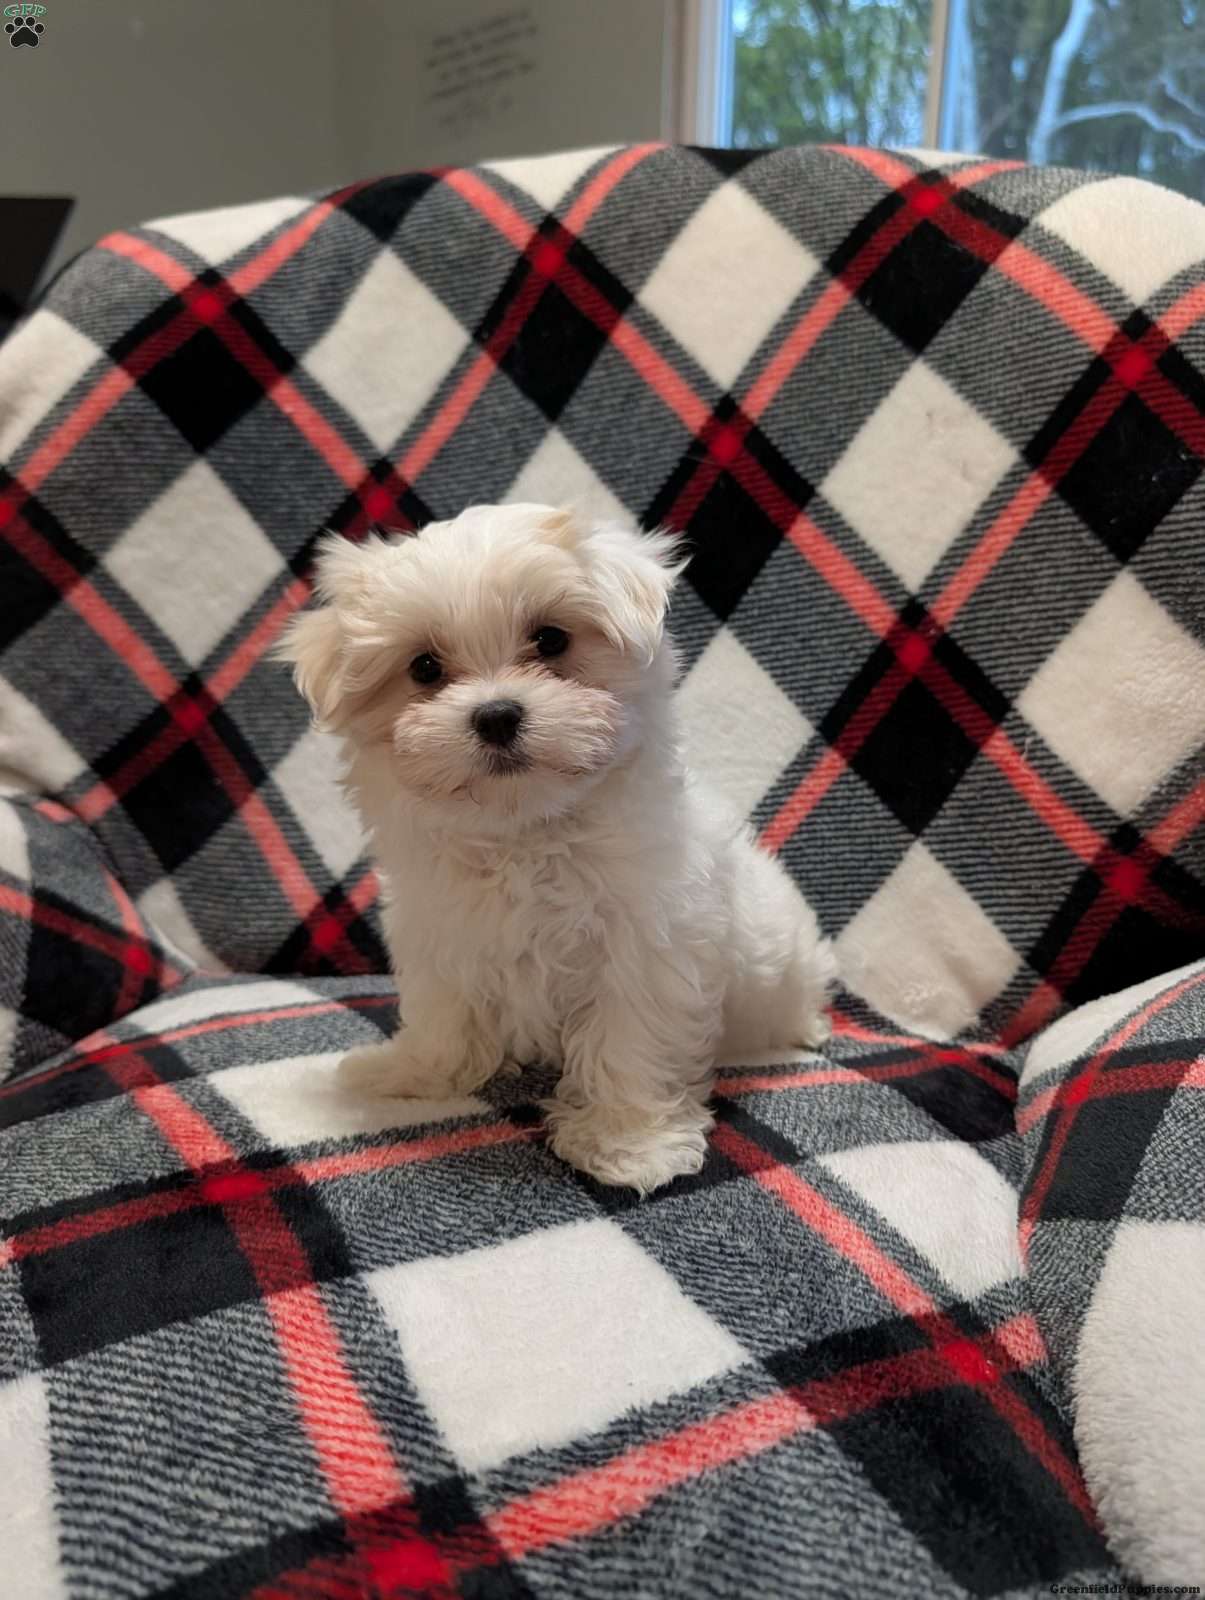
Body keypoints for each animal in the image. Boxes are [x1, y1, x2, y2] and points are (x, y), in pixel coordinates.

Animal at [276, 503, 835, 1192]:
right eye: (425, 668)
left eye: (550, 640)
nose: (495, 715)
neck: (526, 833)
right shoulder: (442, 934)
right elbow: (443, 1015)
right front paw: (411, 1072)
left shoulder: (647, 948)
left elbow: (629, 1042)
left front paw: (627, 1144)